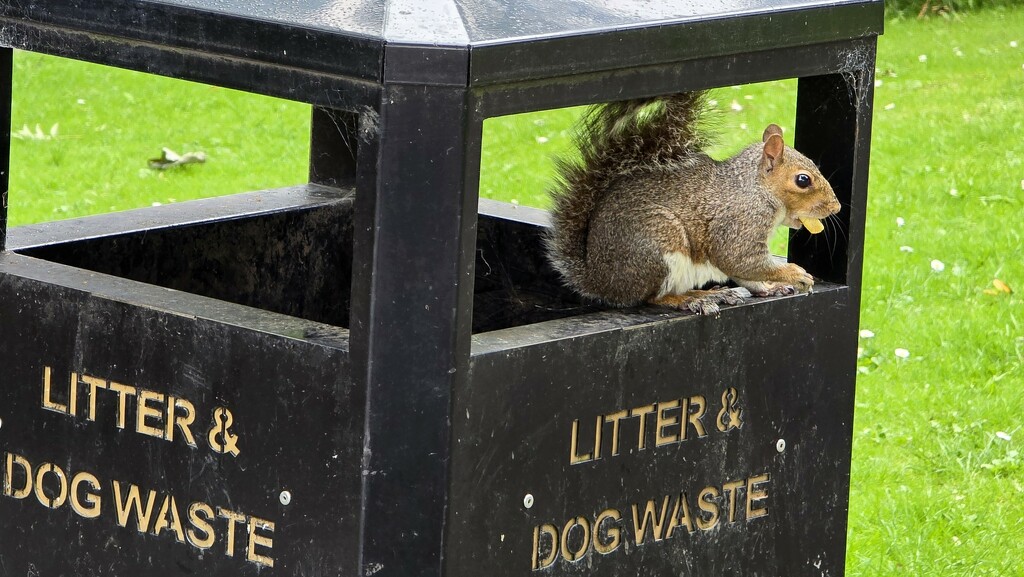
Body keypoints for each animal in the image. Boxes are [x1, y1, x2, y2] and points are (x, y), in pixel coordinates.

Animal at [544, 92, 839, 313]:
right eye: (803, 180)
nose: (835, 207)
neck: (755, 189)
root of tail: (600, 280)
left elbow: (745, 273)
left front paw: (769, 287)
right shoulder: (739, 223)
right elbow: (741, 260)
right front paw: (793, 273)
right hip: (659, 242)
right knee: (653, 298)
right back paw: (692, 298)